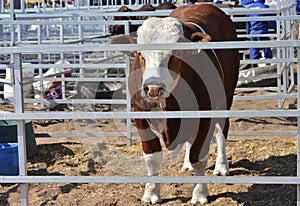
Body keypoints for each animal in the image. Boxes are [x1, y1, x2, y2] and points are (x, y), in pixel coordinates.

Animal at [111, 3, 240, 204]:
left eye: (176, 53)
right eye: (140, 54)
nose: (153, 88)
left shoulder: (206, 115)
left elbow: (199, 157)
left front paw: (199, 193)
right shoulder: (140, 115)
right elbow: (152, 156)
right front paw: (151, 192)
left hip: (225, 98)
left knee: (221, 131)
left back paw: (221, 166)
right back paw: (187, 164)